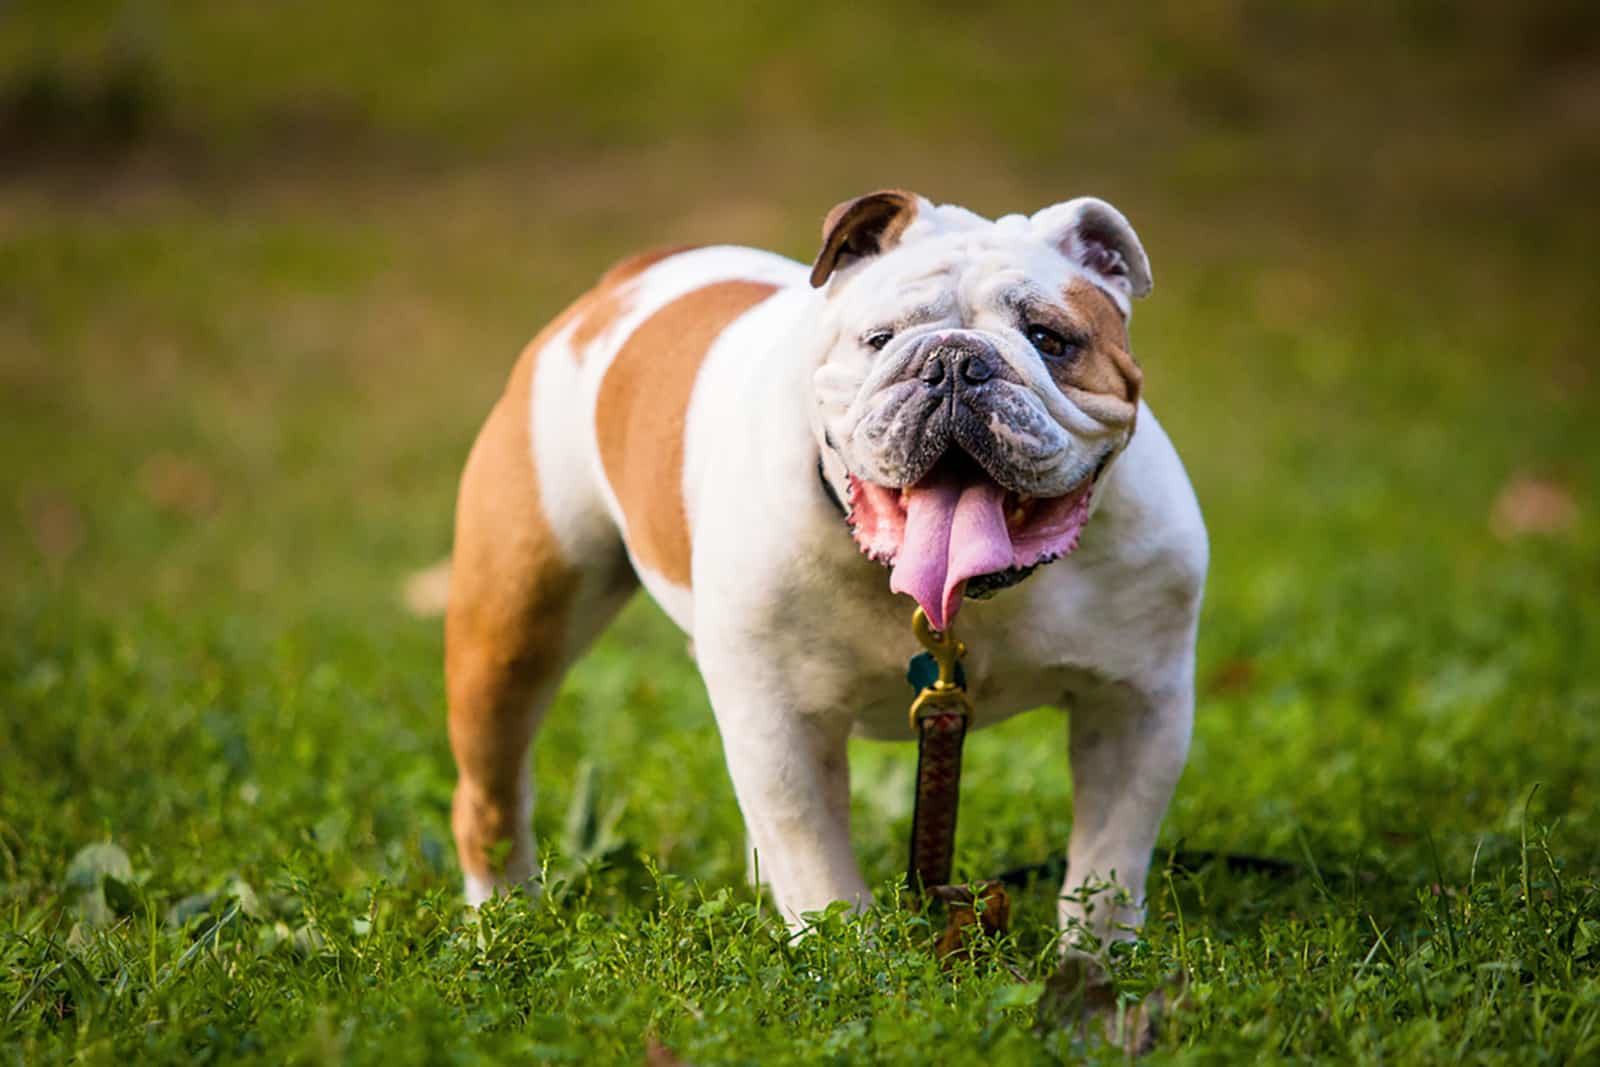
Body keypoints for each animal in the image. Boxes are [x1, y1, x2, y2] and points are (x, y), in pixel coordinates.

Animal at [444, 189, 1203, 953]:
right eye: (881, 338)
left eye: (1050, 339)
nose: (955, 363)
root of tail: (622, 283)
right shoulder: (782, 726)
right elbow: (821, 871)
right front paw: (851, 962)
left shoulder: (1137, 705)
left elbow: (1107, 863)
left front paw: (1098, 957)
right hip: (513, 626)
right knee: (488, 794)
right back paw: (499, 919)